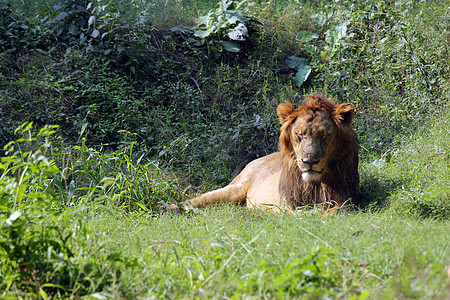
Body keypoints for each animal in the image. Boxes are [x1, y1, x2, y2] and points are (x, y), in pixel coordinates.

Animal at [171, 95, 360, 212]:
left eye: (324, 136)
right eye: (299, 135)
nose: (309, 161)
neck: (314, 183)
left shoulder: (345, 200)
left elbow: (334, 211)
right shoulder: (286, 203)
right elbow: (298, 213)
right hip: (235, 188)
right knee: (196, 200)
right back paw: (170, 207)